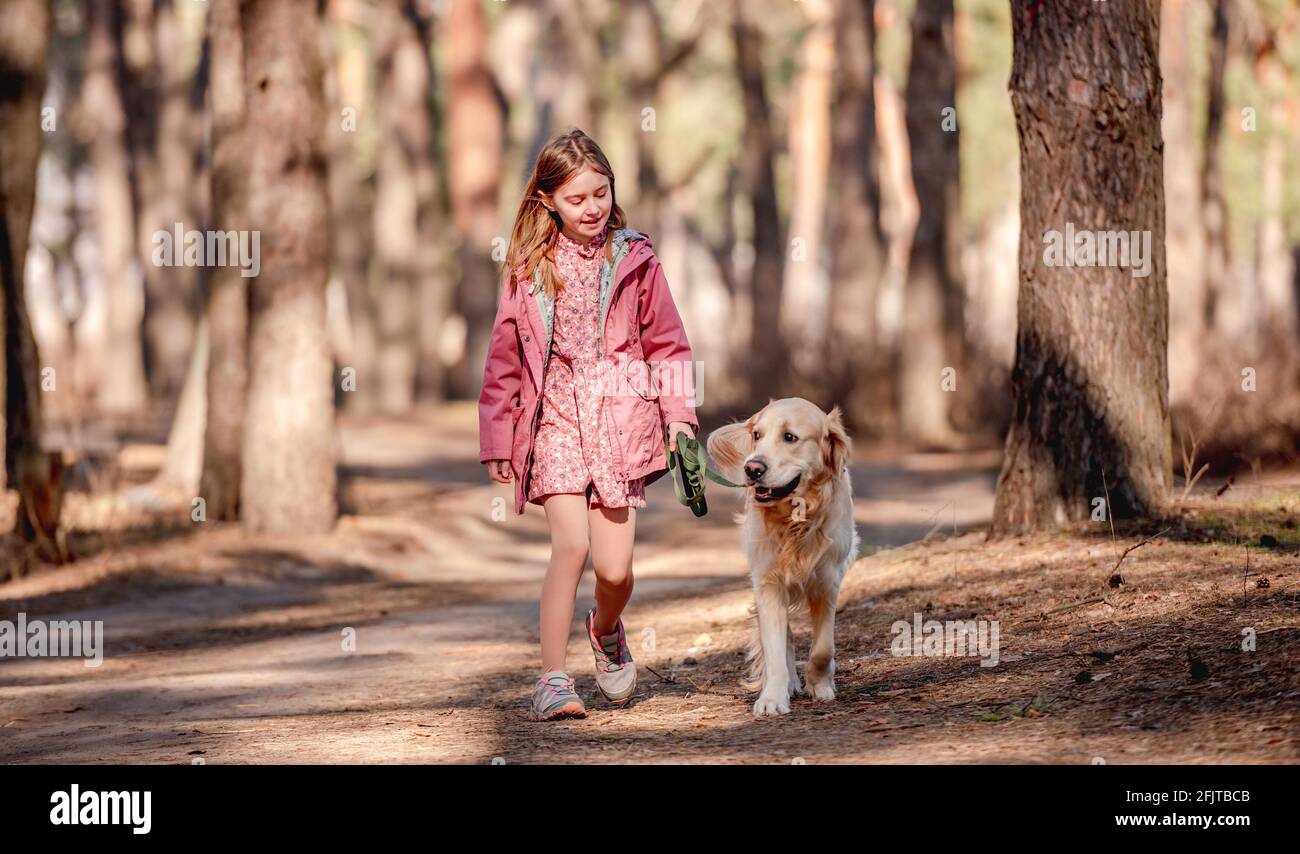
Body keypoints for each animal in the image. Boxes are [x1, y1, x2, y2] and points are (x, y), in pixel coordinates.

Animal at [707, 397, 857, 712]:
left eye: (790, 437)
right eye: (757, 435)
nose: (752, 468)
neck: (796, 519)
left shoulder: (828, 580)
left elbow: (823, 648)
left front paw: (820, 684)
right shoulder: (768, 583)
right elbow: (775, 646)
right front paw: (773, 697)